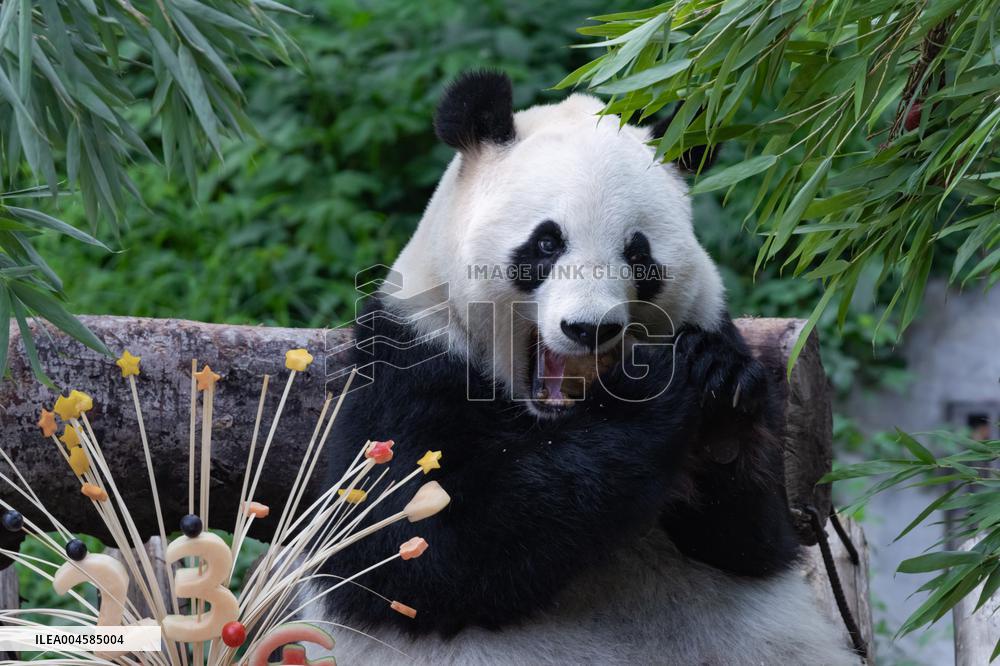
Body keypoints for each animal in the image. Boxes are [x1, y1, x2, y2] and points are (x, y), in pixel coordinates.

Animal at [303, 71, 857, 665]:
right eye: (547, 242)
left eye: (638, 254)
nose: (590, 329)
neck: (551, 425)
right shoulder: (412, 360)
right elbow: (411, 548)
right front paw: (651, 390)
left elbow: (756, 540)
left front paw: (718, 383)